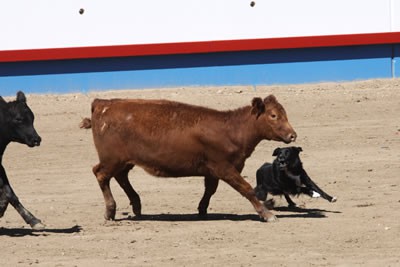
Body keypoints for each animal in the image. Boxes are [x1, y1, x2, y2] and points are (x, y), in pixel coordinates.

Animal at [79, 95, 296, 223]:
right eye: (273, 115)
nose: (292, 135)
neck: (231, 129)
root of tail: (103, 103)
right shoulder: (224, 168)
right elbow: (247, 189)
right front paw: (267, 213)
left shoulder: (213, 171)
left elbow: (210, 190)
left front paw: (202, 209)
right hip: (112, 159)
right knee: (101, 175)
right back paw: (110, 211)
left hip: (123, 161)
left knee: (121, 177)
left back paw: (137, 204)